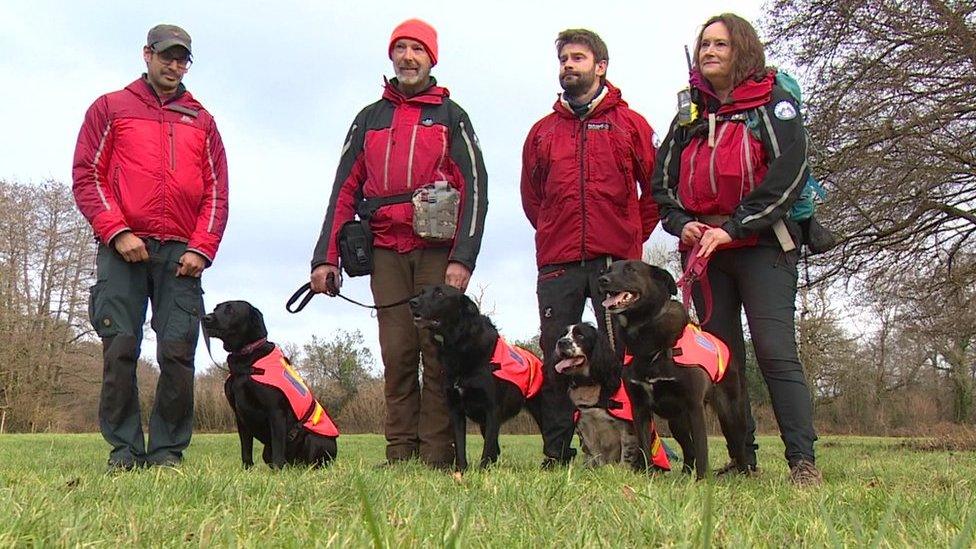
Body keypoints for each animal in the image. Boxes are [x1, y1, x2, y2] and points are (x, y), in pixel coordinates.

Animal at [200, 302, 338, 468]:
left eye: (230, 309)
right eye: (216, 308)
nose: (205, 318)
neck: (246, 359)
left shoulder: (276, 412)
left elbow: (278, 448)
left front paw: (278, 471)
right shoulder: (240, 415)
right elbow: (246, 449)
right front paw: (247, 469)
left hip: (314, 440)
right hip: (266, 452)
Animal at [408, 284, 548, 468]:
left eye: (440, 293)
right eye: (422, 292)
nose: (412, 302)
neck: (459, 345)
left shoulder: (492, 409)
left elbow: (487, 449)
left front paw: (481, 471)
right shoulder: (456, 410)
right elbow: (460, 445)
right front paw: (461, 470)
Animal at [552, 324, 644, 468]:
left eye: (580, 335)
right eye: (563, 335)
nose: (561, 342)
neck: (588, 384)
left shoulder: (626, 427)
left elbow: (626, 454)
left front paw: (622, 471)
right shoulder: (586, 426)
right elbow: (596, 454)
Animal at [596, 260, 748, 478]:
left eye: (630, 269)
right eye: (607, 270)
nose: (602, 280)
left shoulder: (695, 406)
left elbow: (702, 449)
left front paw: (702, 480)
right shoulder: (639, 408)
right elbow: (645, 448)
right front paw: (649, 476)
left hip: (730, 413)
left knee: (738, 445)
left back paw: (745, 474)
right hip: (677, 422)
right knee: (689, 449)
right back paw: (684, 475)